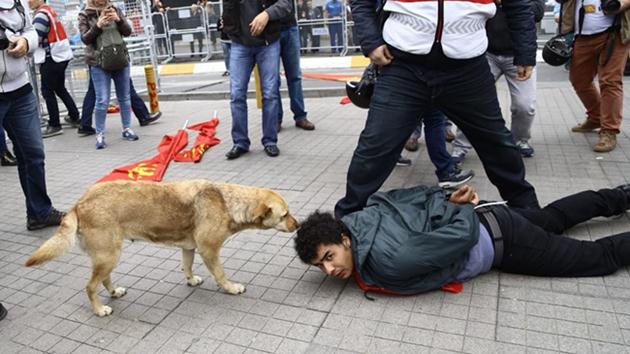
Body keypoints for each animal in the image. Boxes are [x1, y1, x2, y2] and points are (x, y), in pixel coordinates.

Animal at [25, 181, 302, 316]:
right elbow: (221, 275)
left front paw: (191, 280)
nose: (298, 225)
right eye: (285, 214)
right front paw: (231, 288)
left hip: (108, 256)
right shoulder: (209, 251)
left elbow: (187, 267)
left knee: (104, 280)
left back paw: (114, 292)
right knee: (91, 286)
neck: (227, 201)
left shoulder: (189, 248)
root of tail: (79, 203)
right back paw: (100, 309)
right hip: (108, 255)